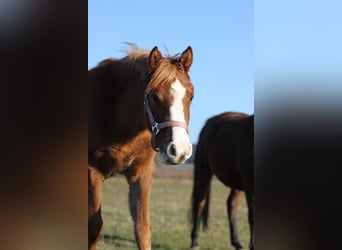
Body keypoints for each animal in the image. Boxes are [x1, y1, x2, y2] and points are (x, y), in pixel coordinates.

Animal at [88, 45, 195, 250]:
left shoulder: (141, 173)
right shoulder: (92, 171)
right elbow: (94, 227)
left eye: (191, 96)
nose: (179, 150)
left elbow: (142, 228)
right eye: (154, 97)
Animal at [190, 112, 254, 250]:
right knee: (200, 203)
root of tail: (210, 121)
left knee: (231, 204)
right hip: (204, 172)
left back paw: (236, 242)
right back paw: (194, 242)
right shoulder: (250, 186)